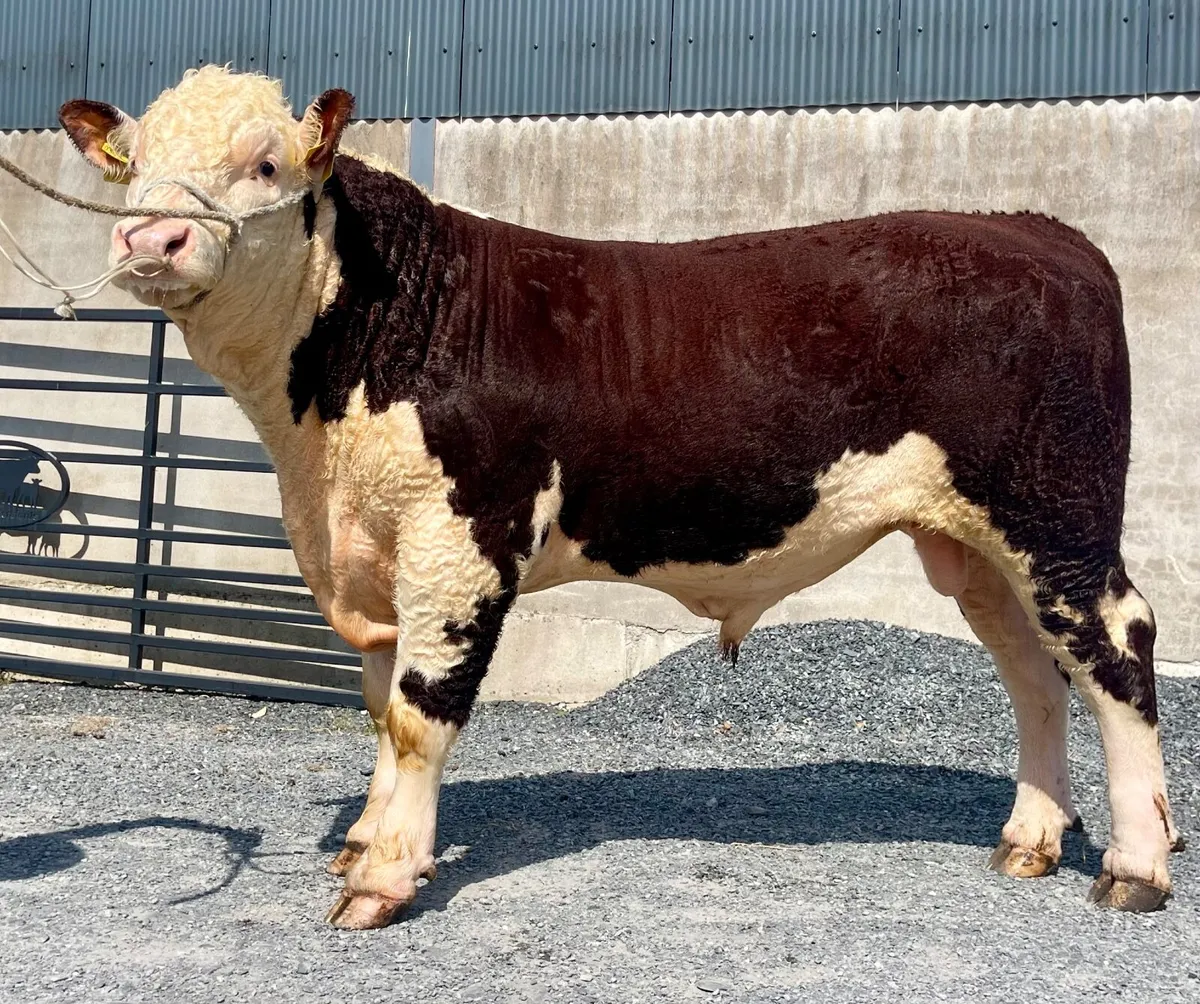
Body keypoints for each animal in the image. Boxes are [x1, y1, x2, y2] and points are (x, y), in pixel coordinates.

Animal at [57, 67, 1181, 930]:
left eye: (265, 163)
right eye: (135, 163)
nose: (150, 240)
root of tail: (1040, 232)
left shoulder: (461, 540)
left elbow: (420, 713)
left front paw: (382, 880)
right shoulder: (372, 552)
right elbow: (380, 706)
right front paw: (368, 840)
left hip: (1056, 513)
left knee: (1118, 646)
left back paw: (1136, 867)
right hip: (978, 542)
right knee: (1035, 672)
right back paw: (1032, 838)